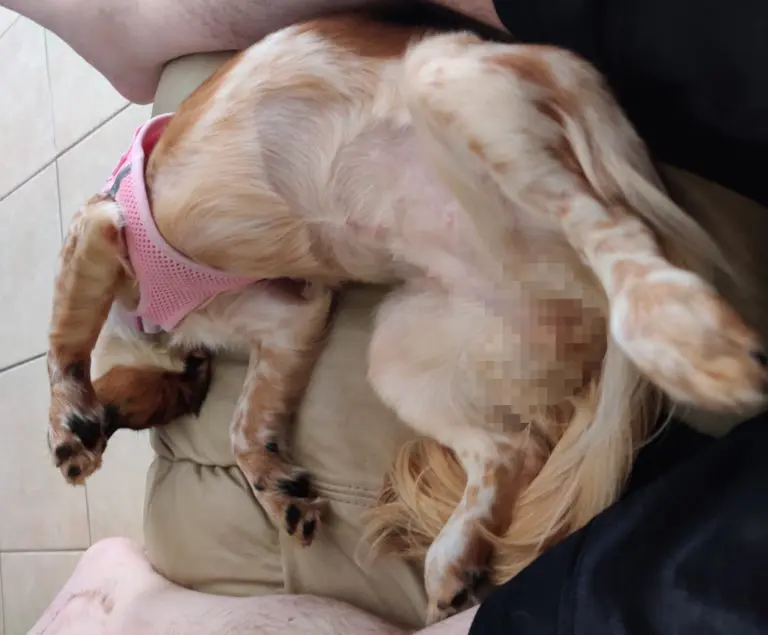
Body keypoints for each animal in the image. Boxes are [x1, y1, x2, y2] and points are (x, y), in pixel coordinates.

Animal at [45, 14, 764, 628]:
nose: (190, 376)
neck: (155, 316)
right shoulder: (291, 316)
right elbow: (245, 426)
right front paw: (279, 492)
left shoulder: (99, 227)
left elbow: (64, 337)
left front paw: (69, 425)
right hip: (396, 349)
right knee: (509, 448)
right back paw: (454, 557)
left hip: (448, 80)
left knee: (608, 226)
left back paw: (675, 329)